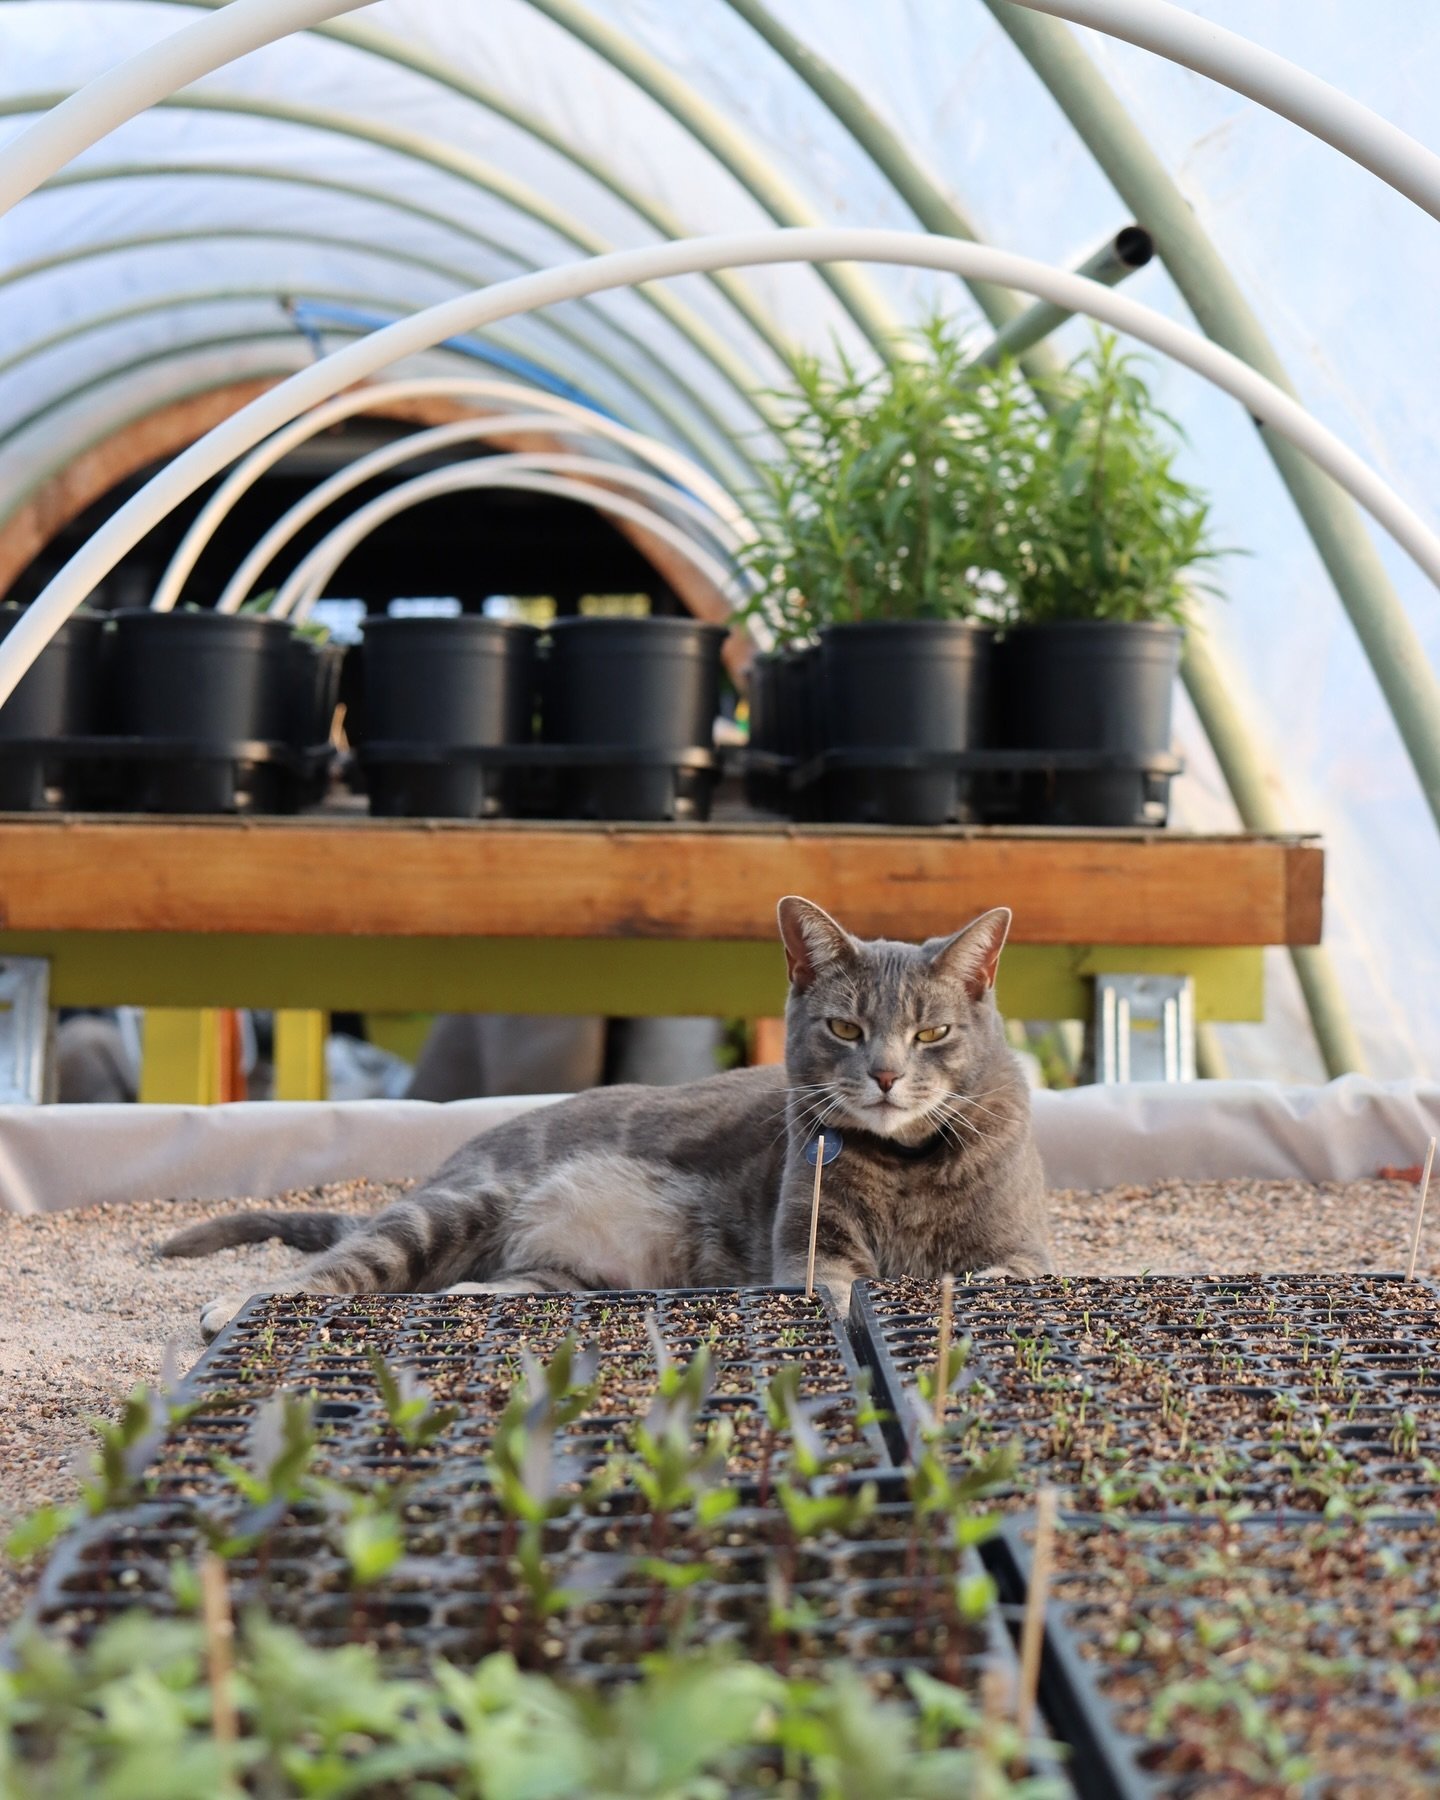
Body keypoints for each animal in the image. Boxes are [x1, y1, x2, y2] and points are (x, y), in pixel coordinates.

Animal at [165, 896, 1044, 1339]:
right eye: (845, 1029)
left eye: (932, 1033)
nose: (887, 1075)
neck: (906, 1166)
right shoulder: (809, 1258)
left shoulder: (1024, 1254)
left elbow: (992, 1276)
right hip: (455, 1206)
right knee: (335, 1270)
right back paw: (235, 1306)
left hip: (557, 1269)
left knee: (487, 1286)